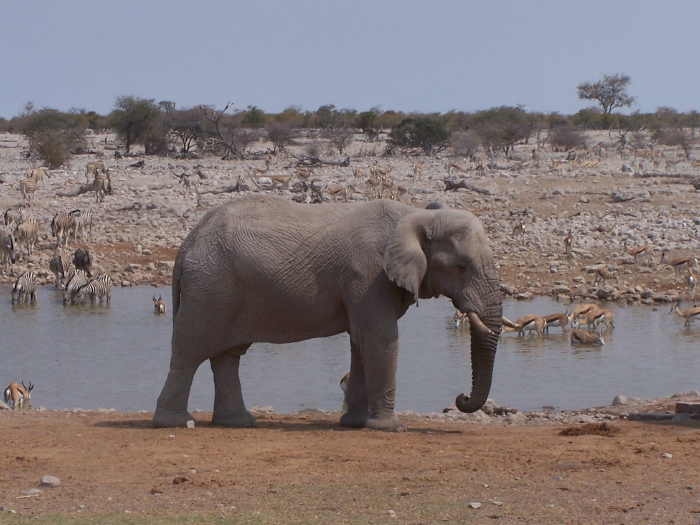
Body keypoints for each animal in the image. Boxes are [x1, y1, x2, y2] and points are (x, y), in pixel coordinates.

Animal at [154, 194, 504, 432]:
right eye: (461, 267)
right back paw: (177, 423)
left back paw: (238, 422)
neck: (415, 215)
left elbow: (361, 342)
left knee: (227, 356)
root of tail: (187, 245)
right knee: (190, 352)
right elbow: (380, 338)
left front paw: (355, 423)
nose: (460, 397)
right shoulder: (369, 277)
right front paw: (390, 428)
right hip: (210, 289)